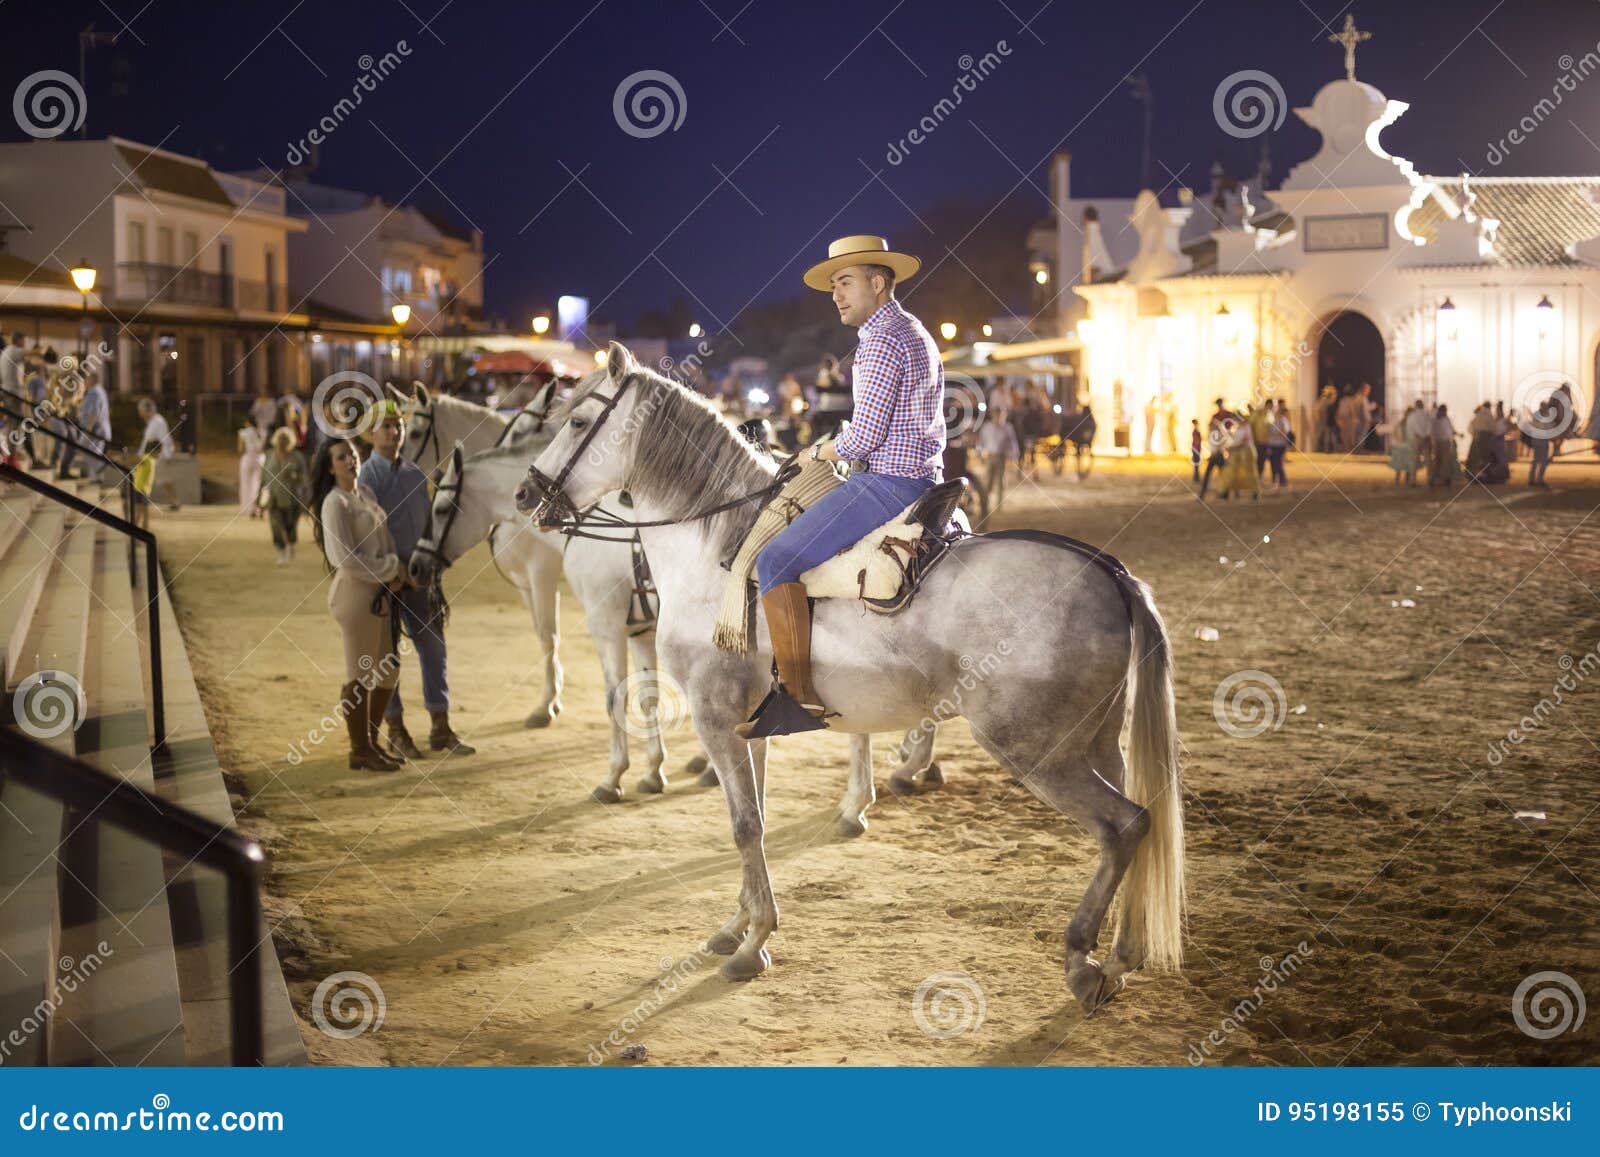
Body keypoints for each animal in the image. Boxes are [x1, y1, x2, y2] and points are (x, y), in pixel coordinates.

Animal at [515, 345, 1185, 1013]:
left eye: (579, 422)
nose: (526, 494)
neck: (718, 556)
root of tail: (1108, 573)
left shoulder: (714, 717)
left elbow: (743, 825)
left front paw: (753, 943)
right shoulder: (747, 726)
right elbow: (754, 819)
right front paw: (738, 924)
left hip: (1037, 749)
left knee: (1125, 825)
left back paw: (1085, 958)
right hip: (1097, 743)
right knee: (1136, 827)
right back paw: (1121, 954)